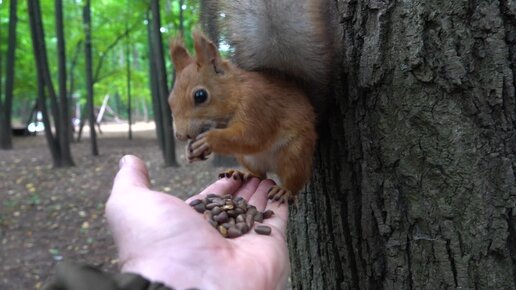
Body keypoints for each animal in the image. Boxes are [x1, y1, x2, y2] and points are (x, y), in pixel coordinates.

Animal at [169, 0, 338, 203]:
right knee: (260, 174)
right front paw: (191, 151)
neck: (238, 93)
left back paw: (284, 190)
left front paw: (209, 140)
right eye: (170, 100)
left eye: (200, 95)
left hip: (295, 153)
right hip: (247, 157)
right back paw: (241, 173)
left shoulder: (258, 106)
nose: (180, 135)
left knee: (293, 178)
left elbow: (250, 136)